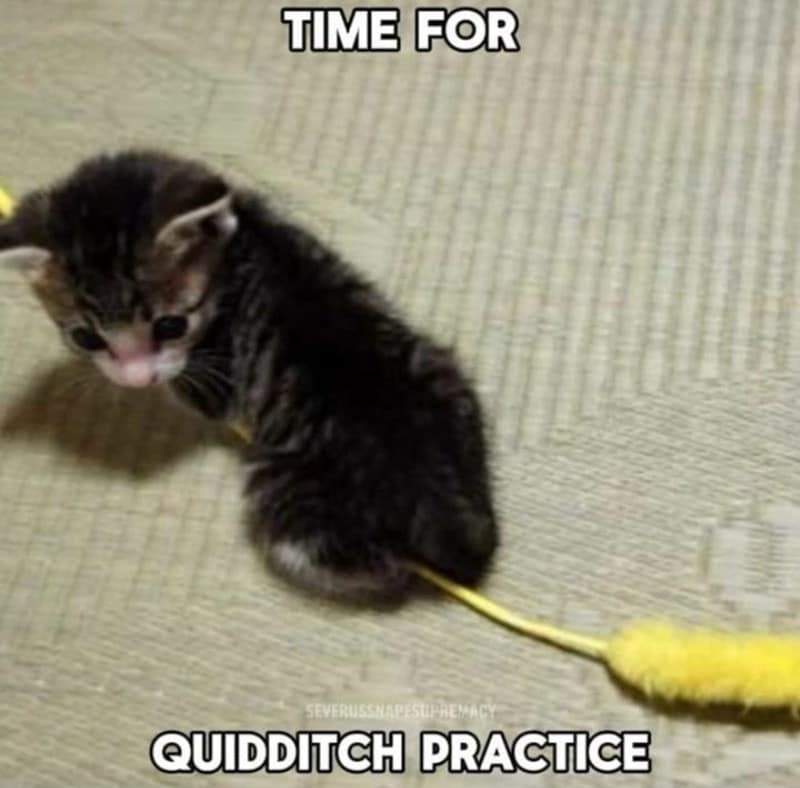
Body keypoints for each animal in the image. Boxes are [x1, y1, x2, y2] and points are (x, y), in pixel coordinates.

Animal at [0, 150, 498, 596]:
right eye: (85, 337)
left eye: (170, 325)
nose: (137, 379)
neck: (242, 245)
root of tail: (431, 505)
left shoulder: (215, 378)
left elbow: (191, 389)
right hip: (445, 377)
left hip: (286, 494)